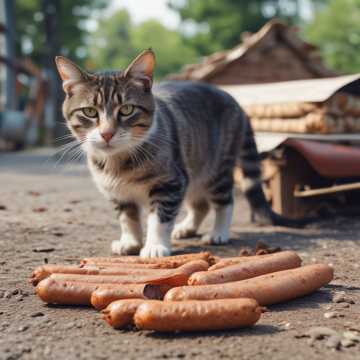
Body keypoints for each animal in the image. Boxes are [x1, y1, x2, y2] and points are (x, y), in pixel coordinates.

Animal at [54, 49, 300, 258]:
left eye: (127, 109)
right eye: (89, 111)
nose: (106, 133)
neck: (118, 163)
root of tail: (235, 101)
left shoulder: (170, 182)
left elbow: (159, 217)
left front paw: (154, 245)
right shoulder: (118, 193)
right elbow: (127, 217)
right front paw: (130, 242)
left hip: (216, 169)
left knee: (224, 200)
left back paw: (218, 232)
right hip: (193, 171)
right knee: (200, 204)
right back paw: (186, 228)